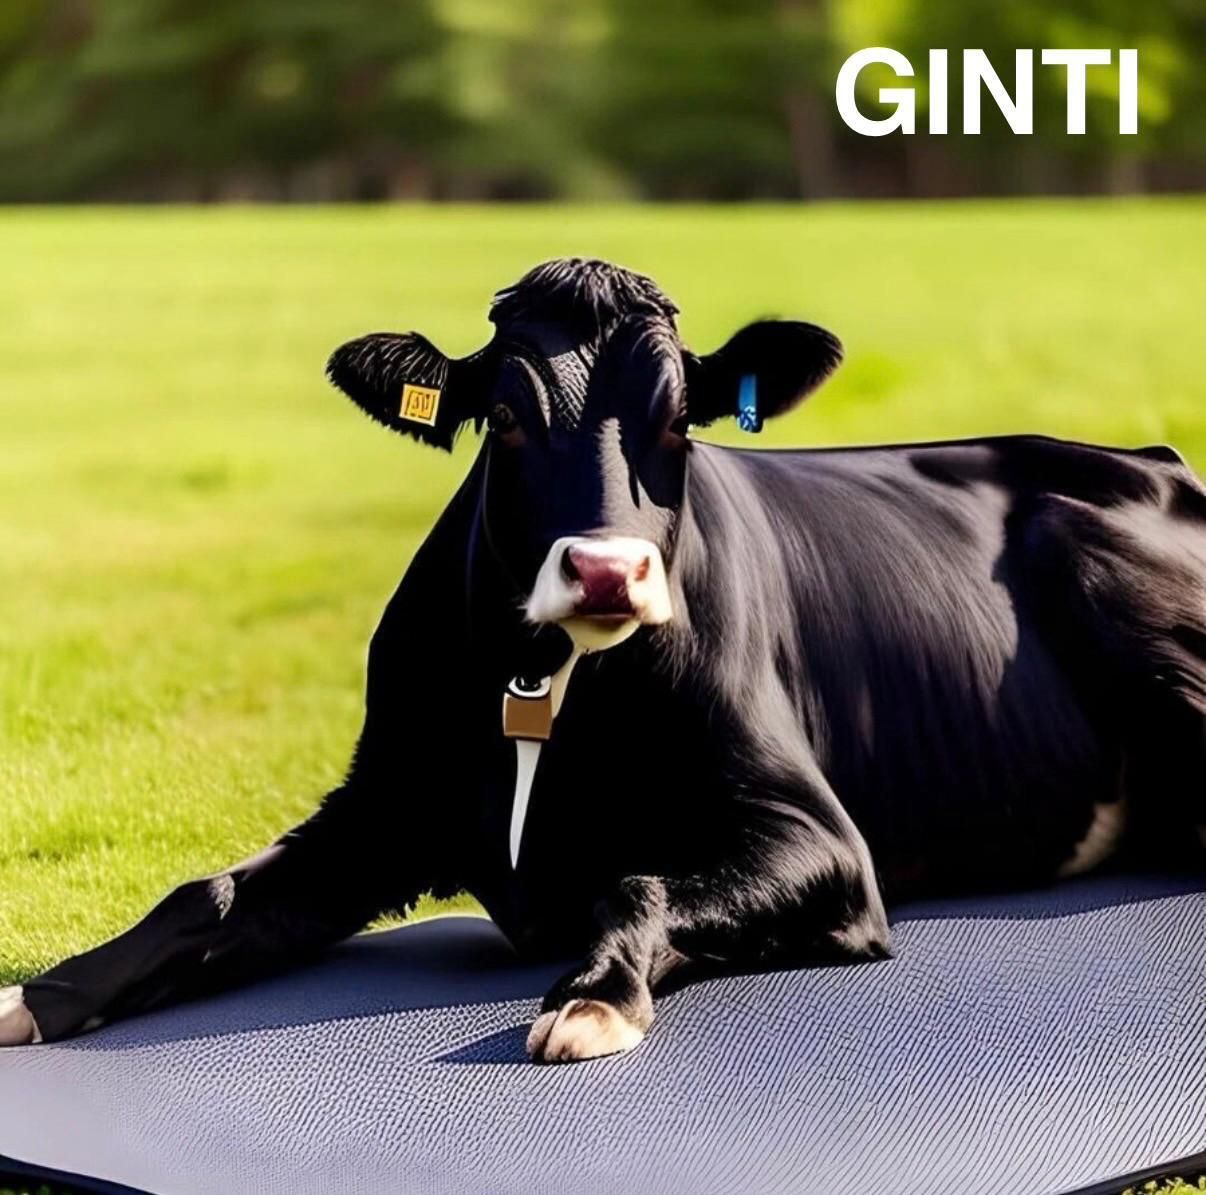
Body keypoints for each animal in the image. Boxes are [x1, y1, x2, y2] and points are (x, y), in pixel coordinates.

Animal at [3, 257, 1204, 1064]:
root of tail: (1146, 452)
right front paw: (40, 997)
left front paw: (592, 995)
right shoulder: (382, 803)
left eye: (680, 421)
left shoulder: (822, 837)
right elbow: (202, 894)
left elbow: (638, 879)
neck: (546, 686)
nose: (606, 570)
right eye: (504, 417)